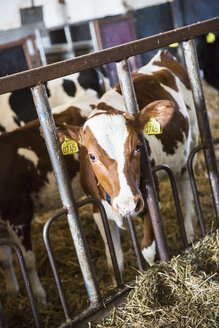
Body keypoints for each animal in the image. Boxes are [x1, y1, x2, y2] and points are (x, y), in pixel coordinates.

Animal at [57, 49, 198, 274]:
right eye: (92, 156)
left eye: (138, 147)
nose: (128, 204)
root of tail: (161, 56)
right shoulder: (97, 210)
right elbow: (115, 260)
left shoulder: (149, 195)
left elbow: (148, 250)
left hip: (190, 147)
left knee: (186, 189)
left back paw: (190, 232)